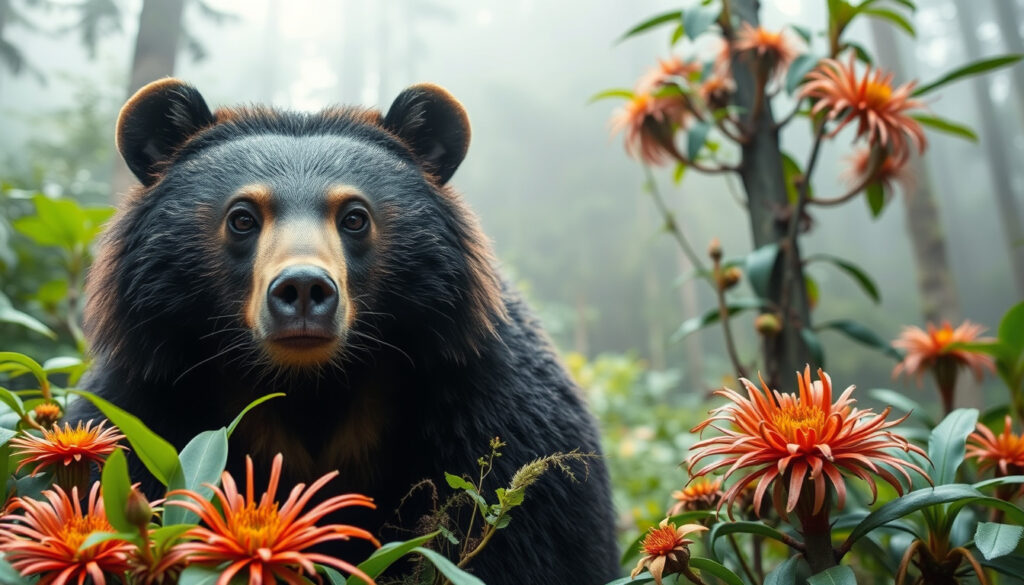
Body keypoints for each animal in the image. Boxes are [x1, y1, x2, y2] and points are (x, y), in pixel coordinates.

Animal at [79, 78, 621, 584]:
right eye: (242, 218)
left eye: (355, 217)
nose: (302, 288)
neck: (313, 385)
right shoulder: (147, 402)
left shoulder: (494, 407)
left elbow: (535, 539)